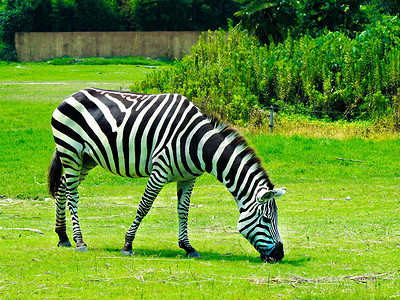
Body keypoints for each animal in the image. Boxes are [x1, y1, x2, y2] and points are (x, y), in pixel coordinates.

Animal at [47, 87, 288, 262]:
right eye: (266, 219)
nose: (279, 255)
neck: (198, 143)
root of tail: (72, 95)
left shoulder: (188, 177)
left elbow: (183, 211)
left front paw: (188, 247)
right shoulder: (159, 170)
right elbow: (144, 207)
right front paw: (128, 244)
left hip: (86, 158)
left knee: (62, 188)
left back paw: (63, 237)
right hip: (71, 151)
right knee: (72, 195)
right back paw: (79, 241)